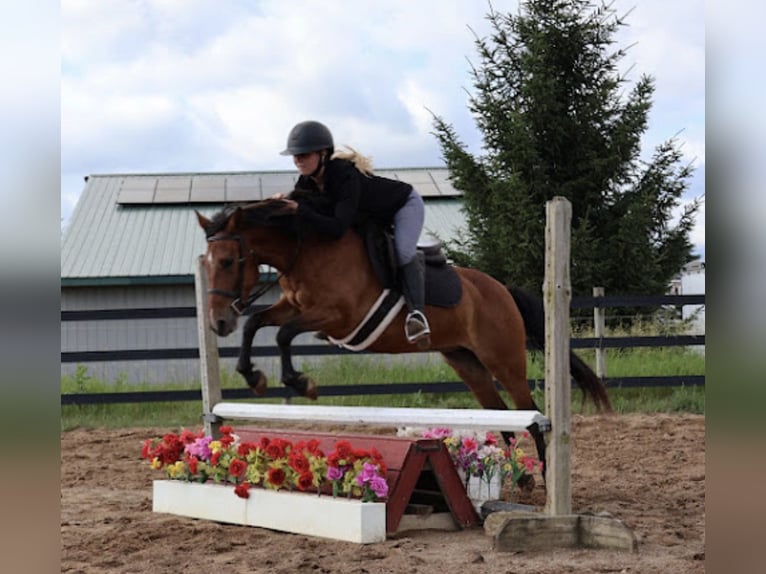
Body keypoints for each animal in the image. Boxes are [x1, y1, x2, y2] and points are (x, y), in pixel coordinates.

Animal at [195, 196, 612, 469]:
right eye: (209, 264)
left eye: (229, 261)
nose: (218, 323)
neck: (305, 250)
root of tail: (501, 290)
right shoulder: (294, 307)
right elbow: (257, 323)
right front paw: (254, 377)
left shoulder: (336, 316)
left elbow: (283, 335)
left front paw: (301, 383)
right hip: (467, 363)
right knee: (500, 414)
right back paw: (518, 479)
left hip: (503, 359)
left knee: (530, 413)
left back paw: (544, 479)